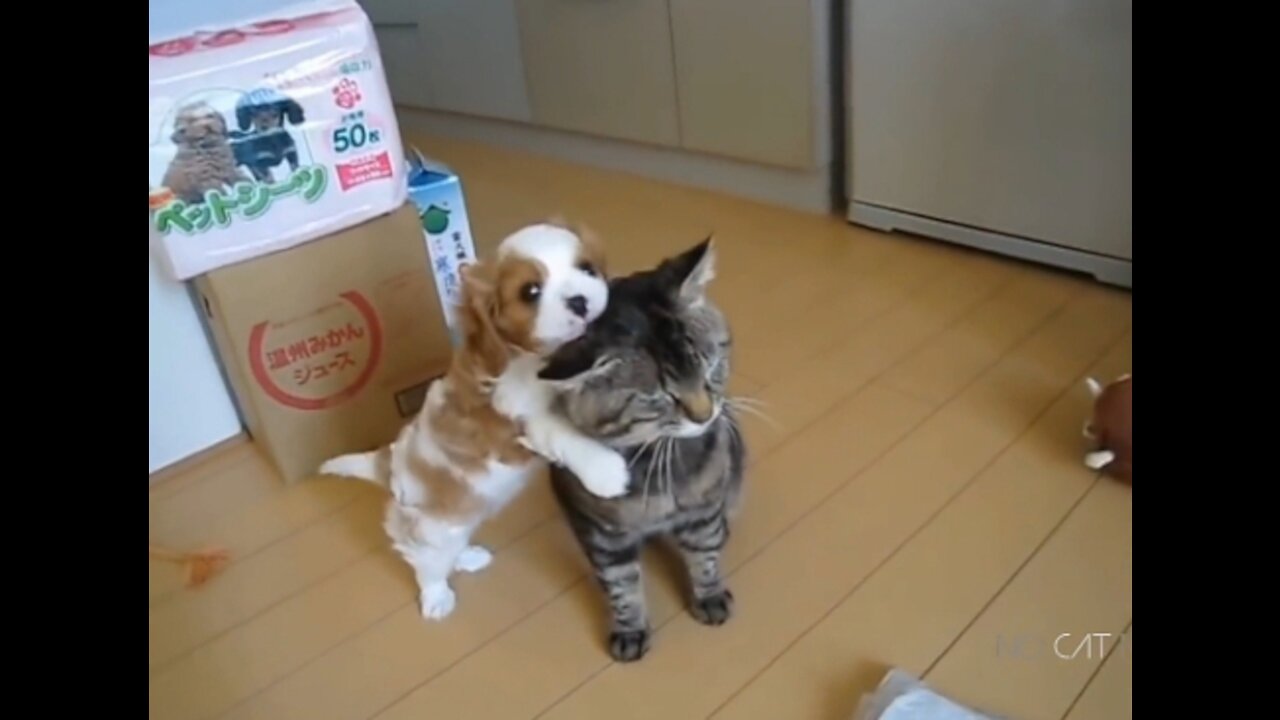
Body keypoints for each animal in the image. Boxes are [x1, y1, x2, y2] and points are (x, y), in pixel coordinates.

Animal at [320, 220, 629, 617]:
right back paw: (436, 598)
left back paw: (468, 557)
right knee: (424, 559)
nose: (580, 300)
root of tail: (389, 459)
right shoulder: (519, 417)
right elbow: (562, 435)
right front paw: (607, 472)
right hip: (432, 528)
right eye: (530, 292)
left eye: (587, 269)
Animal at [537, 238, 747, 661]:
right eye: (659, 397)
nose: (705, 414)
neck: (657, 461)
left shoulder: (702, 512)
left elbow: (705, 556)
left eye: (711, 367)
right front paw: (630, 629)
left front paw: (709, 596)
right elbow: (620, 585)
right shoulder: (600, 533)